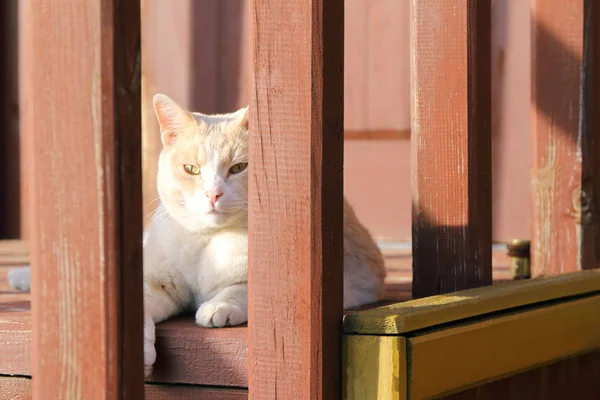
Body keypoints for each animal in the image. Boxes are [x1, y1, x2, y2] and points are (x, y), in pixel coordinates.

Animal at [7, 94, 386, 378]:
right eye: (191, 169)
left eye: (238, 168)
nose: (212, 194)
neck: (206, 244)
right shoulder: (153, 283)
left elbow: (243, 288)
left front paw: (217, 306)